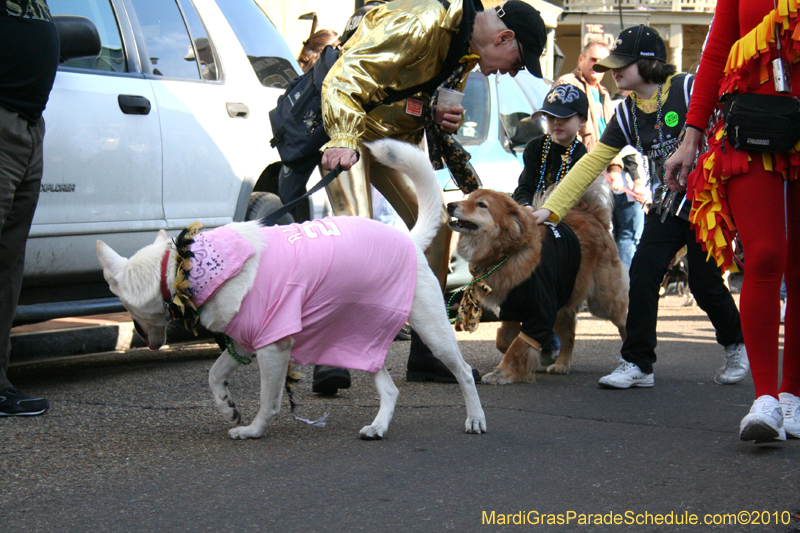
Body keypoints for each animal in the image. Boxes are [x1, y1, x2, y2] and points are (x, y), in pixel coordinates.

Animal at [97, 139, 484, 438]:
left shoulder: (272, 347)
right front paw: (226, 407)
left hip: (432, 330)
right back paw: (378, 427)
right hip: (359, 338)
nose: (140, 336)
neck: (186, 266)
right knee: (390, 389)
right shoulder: (245, 340)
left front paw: (252, 430)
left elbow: (269, 401)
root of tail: (407, 240)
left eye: (125, 304)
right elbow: (214, 373)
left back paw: (475, 419)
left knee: (463, 372)